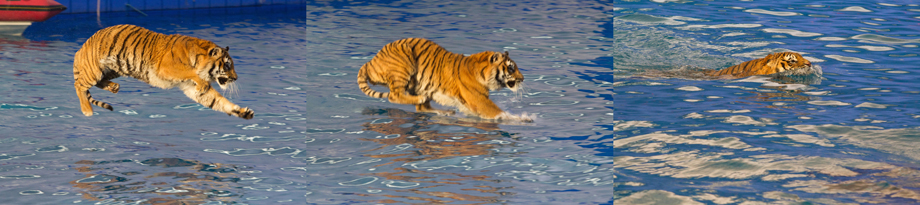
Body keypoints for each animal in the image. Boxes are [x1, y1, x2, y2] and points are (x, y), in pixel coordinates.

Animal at [71, 24, 255, 119]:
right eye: (228, 65)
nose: (236, 78)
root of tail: (80, 49)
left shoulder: (189, 87)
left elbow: (218, 101)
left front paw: (243, 112)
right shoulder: (165, 69)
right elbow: (189, 72)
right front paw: (202, 83)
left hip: (114, 69)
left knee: (98, 83)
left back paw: (113, 87)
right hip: (94, 71)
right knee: (79, 85)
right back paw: (87, 110)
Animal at [358, 37, 532, 121]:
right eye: (511, 68)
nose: (523, 78)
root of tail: (370, 61)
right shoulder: (478, 99)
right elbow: (498, 112)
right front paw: (522, 119)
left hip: (420, 84)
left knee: (421, 107)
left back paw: (445, 112)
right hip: (404, 63)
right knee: (395, 96)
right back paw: (422, 99)